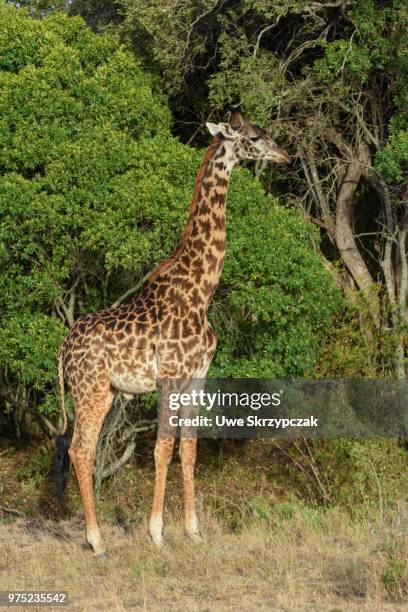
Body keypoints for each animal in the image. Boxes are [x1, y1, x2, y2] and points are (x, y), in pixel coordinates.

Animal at [55, 109, 290, 556]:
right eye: (254, 137)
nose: (284, 155)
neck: (201, 289)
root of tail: (61, 349)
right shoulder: (169, 375)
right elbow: (163, 449)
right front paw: (157, 533)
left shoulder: (197, 377)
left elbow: (189, 449)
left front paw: (194, 531)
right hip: (91, 388)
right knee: (81, 449)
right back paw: (97, 541)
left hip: (103, 390)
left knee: (82, 449)